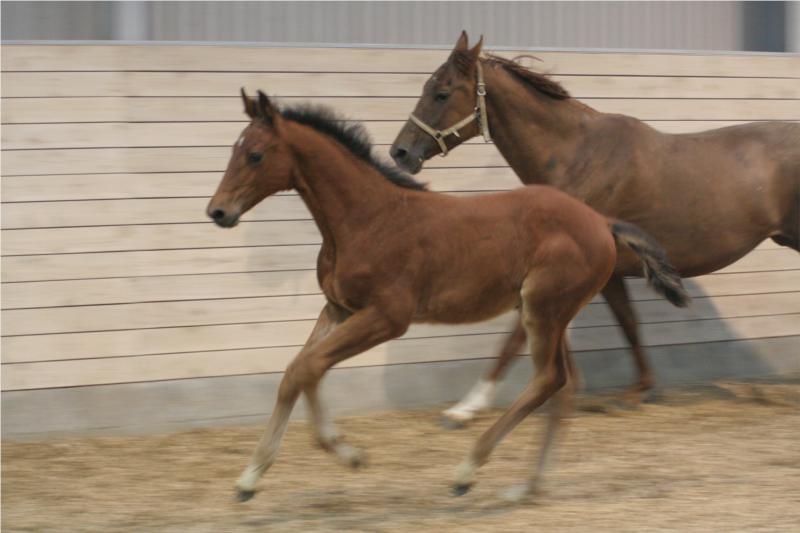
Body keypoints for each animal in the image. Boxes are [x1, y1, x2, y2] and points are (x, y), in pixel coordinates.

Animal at [206, 89, 688, 500]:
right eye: (232, 150)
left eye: (255, 154)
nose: (218, 211)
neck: (367, 218)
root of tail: (602, 221)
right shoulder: (338, 308)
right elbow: (296, 372)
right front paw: (250, 478)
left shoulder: (388, 316)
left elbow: (309, 367)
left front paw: (345, 452)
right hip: (550, 312)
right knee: (566, 386)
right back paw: (527, 487)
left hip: (544, 308)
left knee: (550, 380)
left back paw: (467, 471)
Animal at [390, 32, 800, 424]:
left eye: (442, 93)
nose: (400, 153)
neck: (577, 157)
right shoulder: (607, 273)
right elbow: (627, 323)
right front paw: (633, 391)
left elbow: (516, 336)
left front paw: (465, 409)